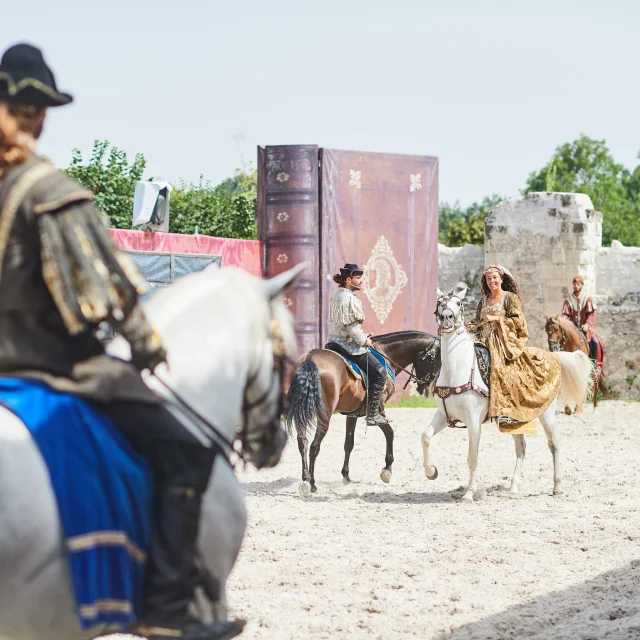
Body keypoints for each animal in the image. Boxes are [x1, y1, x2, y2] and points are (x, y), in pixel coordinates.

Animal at [286, 332, 440, 492]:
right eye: (436, 360)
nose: (427, 387)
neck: (385, 353)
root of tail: (309, 360)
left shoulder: (352, 413)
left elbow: (349, 443)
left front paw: (346, 475)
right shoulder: (378, 410)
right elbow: (390, 433)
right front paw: (387, 469)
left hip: (301, 413)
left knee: (302, 442)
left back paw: (305, 478)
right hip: (324, 415)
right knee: (314, 446)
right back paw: (312, 483)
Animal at [420, 284, 596, 500]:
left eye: (458, 303)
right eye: (439, 303)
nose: (446, 317)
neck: (456, 369)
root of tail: (553, 356)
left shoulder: (473, 421)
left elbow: (472, 457)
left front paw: (469, 493)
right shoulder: (444, 415)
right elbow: (425, 437)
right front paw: (431, 472)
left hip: (547, 414)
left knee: (554, 444)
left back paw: (557, 486)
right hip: (515, 419)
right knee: (521, 448)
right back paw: (513, 486)